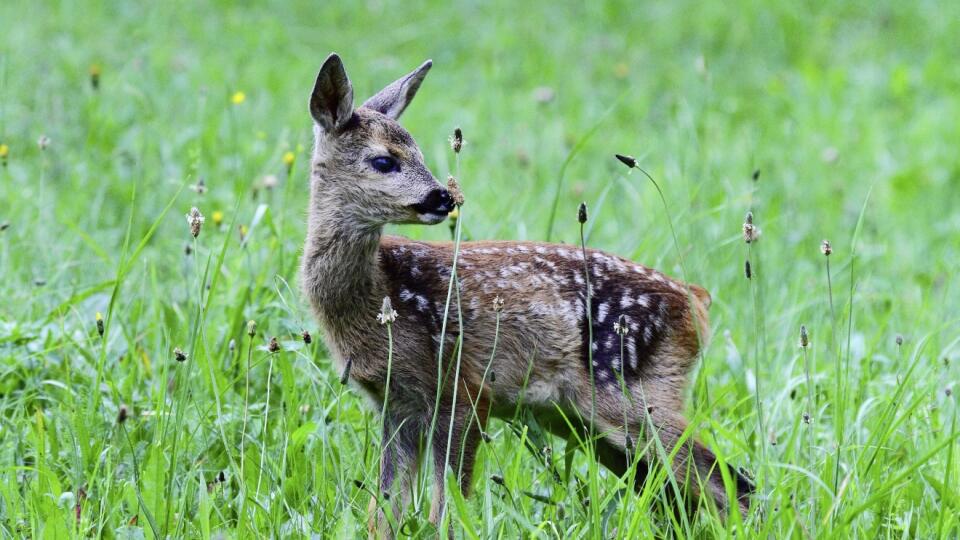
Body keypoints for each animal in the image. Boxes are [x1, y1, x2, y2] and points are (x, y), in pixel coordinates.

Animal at [304, 52, 752, 532]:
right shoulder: (395, 405)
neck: (379, 295)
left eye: (419, 151)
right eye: (384, 161)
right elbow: (383, 513)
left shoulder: (462, 391)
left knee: (732, 485)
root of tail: (695, 301)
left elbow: (447, 513)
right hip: (587, 421)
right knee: (675, 499)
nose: (444, 197)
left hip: (632, 394)